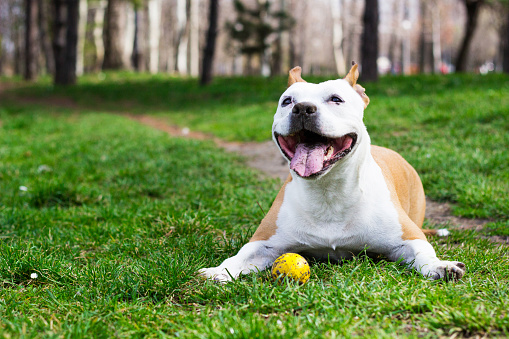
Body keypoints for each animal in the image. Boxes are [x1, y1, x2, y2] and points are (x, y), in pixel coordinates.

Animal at [198, 63, 464, 284]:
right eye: (287, 101)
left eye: (336, 99)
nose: (303, 108)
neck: (328, 191)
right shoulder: (264, 243)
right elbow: (239, 256)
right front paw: (218, 271)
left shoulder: (409, 238)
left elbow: (423, 253)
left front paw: (441, 266)